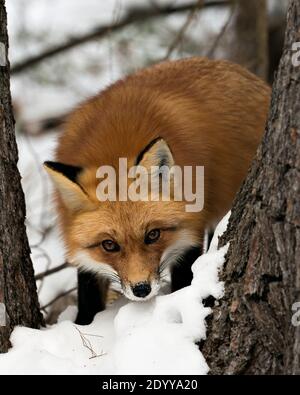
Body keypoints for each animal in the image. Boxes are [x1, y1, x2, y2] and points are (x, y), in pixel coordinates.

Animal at [44, 58, 270, 324]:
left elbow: (185, 281)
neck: (115, 145)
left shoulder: (190, 231)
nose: (141, 289)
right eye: (109, 245)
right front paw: (82, 326)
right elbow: (88, 299)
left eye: (153, 235)